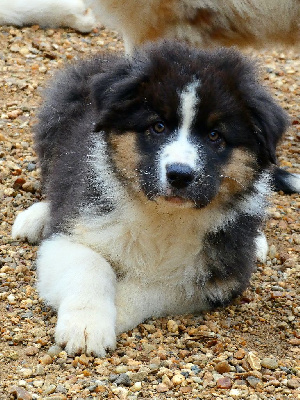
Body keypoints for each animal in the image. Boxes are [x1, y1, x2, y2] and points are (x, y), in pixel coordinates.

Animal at [11, 42, 292, 356]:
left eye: (214, 136)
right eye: (158, 127)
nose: (179, 175)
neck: (164, 215)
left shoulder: (217, 278)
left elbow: (152, 287)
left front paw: (116, 312)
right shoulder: (74, 229)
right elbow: (91, 265)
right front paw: (86, 327)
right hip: (58, 116)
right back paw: (35, 218)